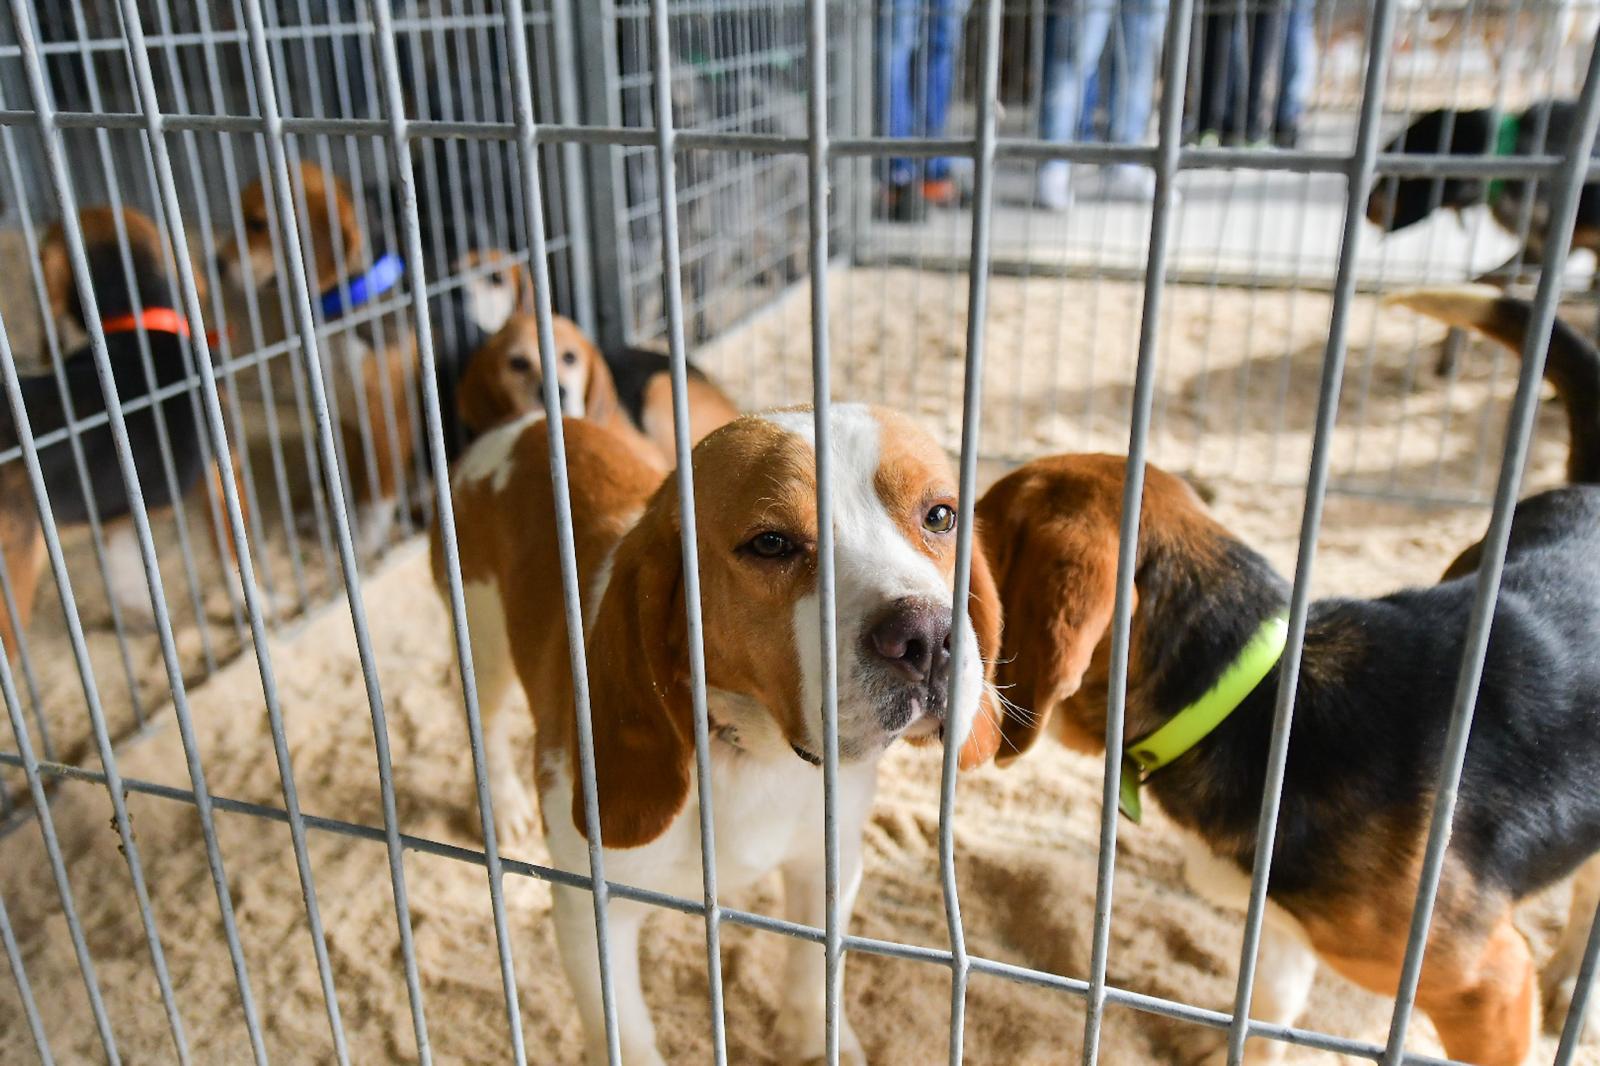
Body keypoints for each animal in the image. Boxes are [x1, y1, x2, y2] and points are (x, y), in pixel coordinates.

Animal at [435, 400, 998, 1062]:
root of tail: (518, 425)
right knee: (486, 723)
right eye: (771, 543)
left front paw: (813, 1040)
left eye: (941, 516)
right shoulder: (589, 908)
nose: (927, 636)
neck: (753, 754)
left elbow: (815, 966)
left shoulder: (829, 862)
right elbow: (624, 1031)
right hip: (483, 643)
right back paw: (502, 805)